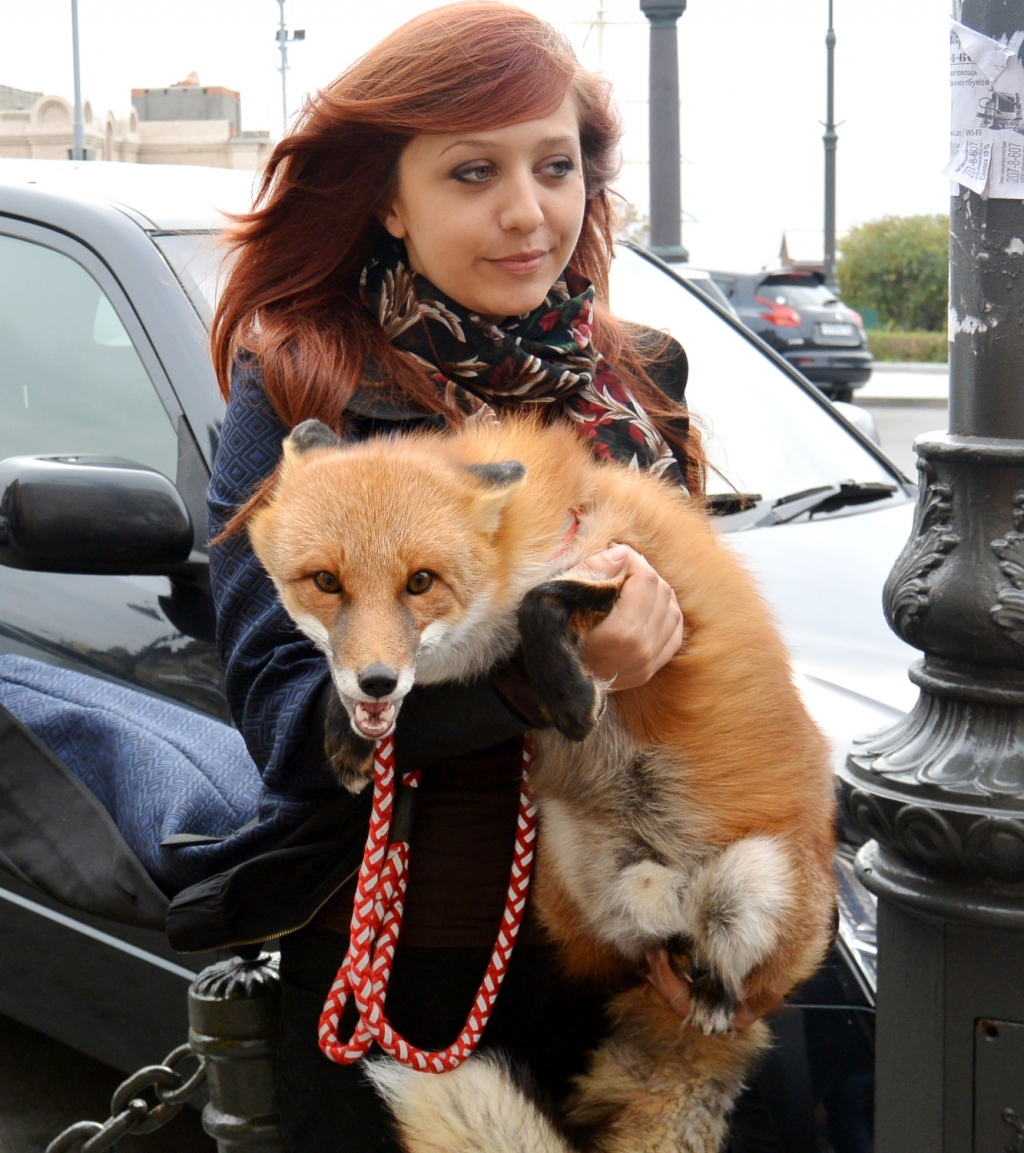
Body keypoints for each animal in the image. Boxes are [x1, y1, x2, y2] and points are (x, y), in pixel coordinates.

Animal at [242, 415, 839, 1153]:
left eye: (420, 582)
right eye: (325, 581)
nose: (378, 681)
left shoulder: (629, 561)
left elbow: (541, 600)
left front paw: (566, 692)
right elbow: (331, 678)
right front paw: (346, 735)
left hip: (755, 881)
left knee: (722, 969)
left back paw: (712, 995)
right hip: (566, 867)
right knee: (653, 931)